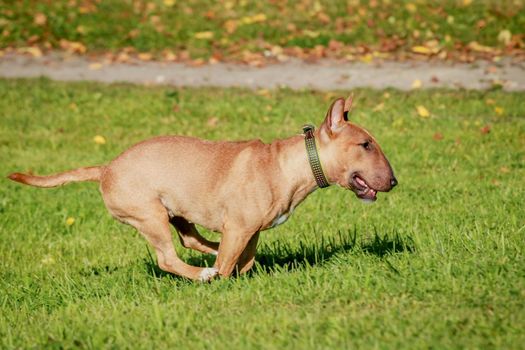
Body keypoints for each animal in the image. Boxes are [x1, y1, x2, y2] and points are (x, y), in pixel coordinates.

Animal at [8, 95, 396, 282]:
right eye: (365, 145)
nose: (393, 182)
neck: (289, 164)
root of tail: (106, 169)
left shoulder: (249, 229)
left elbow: (246, 259)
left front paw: (240, 271)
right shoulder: (240, 226)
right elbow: (231, 262)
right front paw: (223, 278)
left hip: (176, 212)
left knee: (191, 240)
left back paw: (211, 254)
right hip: (150, 215)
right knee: (169, 258)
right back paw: (204, 274)